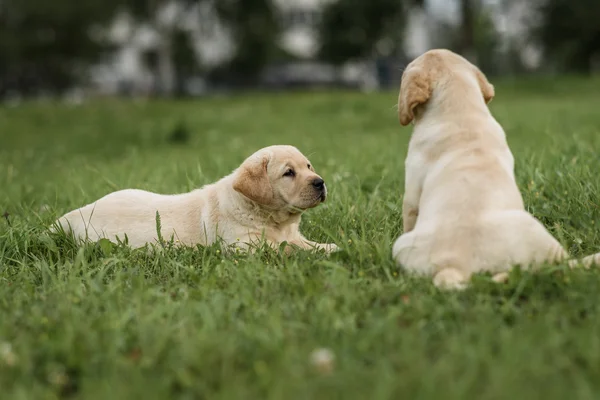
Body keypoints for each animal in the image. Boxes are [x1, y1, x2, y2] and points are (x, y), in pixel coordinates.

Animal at [52, 145, 338, 253]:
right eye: (289, 173)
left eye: (308, 167)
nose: (320, 182)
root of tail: (73, 214)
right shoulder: (245, 246)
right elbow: (288, 249)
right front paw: (320, 253)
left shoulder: (292, 234)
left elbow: (303, 243)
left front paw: (330, 246)